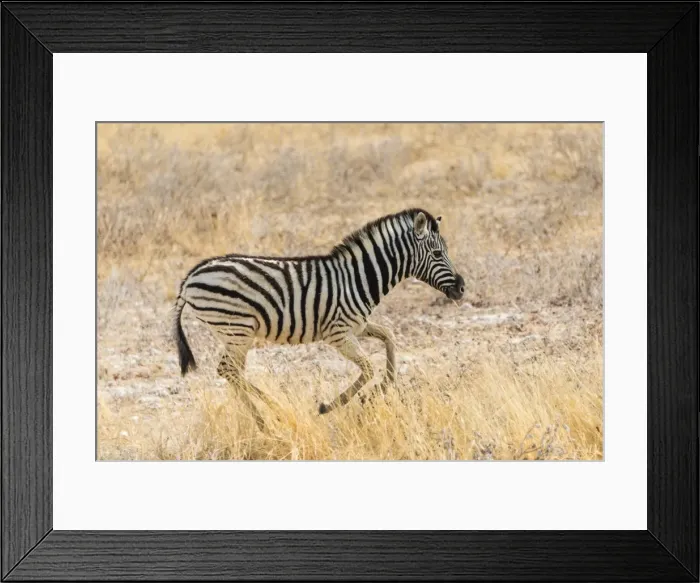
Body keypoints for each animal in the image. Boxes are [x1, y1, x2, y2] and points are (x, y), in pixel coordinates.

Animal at [173, 208, 465, 425]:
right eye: (437, 253)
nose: (462, 288)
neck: (359, 279)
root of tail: (190, 278)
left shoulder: (358, 326)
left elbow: (390, 339)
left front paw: (381, 389)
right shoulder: (338, 334)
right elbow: (368, 368)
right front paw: (332, 405)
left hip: (235, 333)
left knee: (231, 372)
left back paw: (263, 420)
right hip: (237, 330)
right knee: (228, 369)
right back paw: (275, 411)